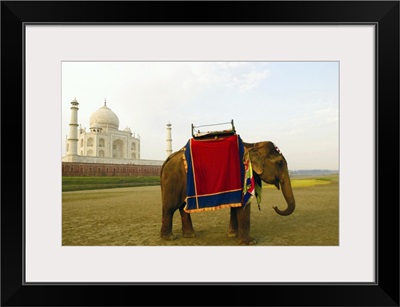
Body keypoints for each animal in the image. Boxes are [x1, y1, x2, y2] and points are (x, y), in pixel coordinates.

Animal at [159, 140, 294, 245]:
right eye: (279, 163)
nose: (274, 206)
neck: (252, 144)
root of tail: (167, 159)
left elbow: (236, 204)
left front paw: (233, 235)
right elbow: (243, 204)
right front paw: (251, 242)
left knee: (182, 207)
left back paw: (191, 235)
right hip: (173, 180)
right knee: (170, 207)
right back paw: (169, 238)